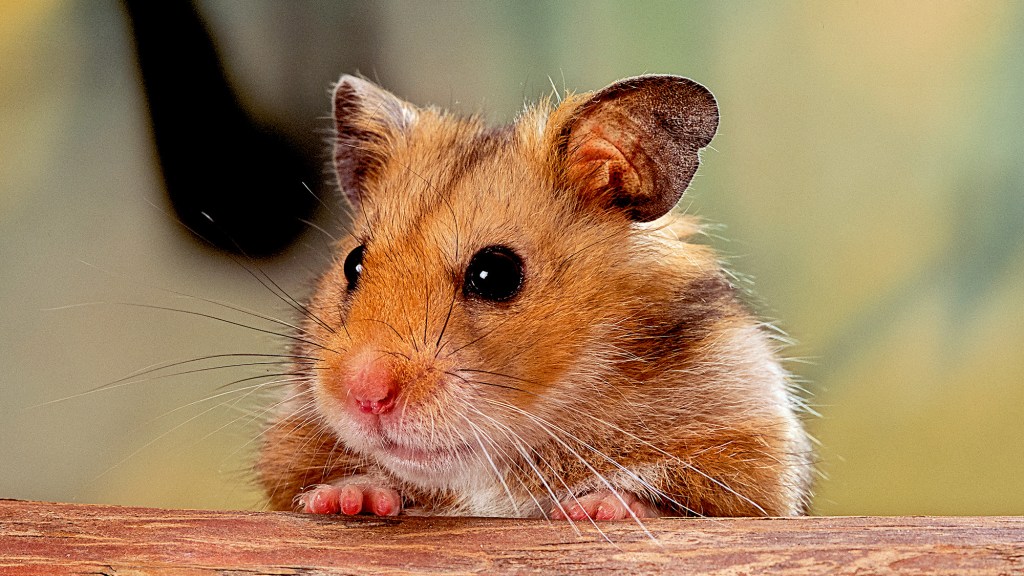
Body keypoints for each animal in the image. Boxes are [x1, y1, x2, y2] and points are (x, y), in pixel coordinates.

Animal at [258, 73, 815, 518]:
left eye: (496, 274)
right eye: (353, 263)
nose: (364, 396)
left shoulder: (748, 445)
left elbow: (678, 496)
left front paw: (597, 509)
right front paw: (347, 500)